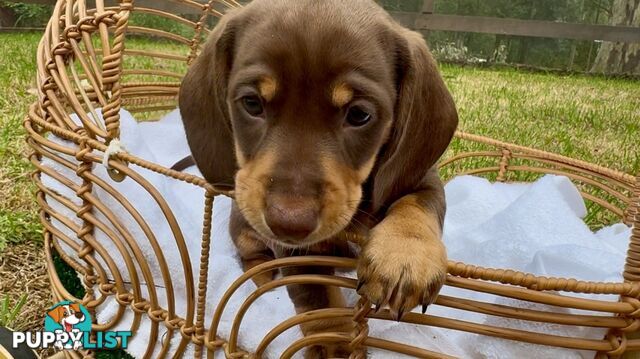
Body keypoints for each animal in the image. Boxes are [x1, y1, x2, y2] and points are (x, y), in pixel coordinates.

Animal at [180, 0, 458, 358]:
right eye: (252, 103)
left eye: (359, 115)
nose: (289, 223)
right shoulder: (296, 253)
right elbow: (317, 298)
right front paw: (332, 344)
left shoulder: (422, 177)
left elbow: (417, 203)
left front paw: (404, 255)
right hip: (244, 230)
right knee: (251, 260)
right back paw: (265, 280)